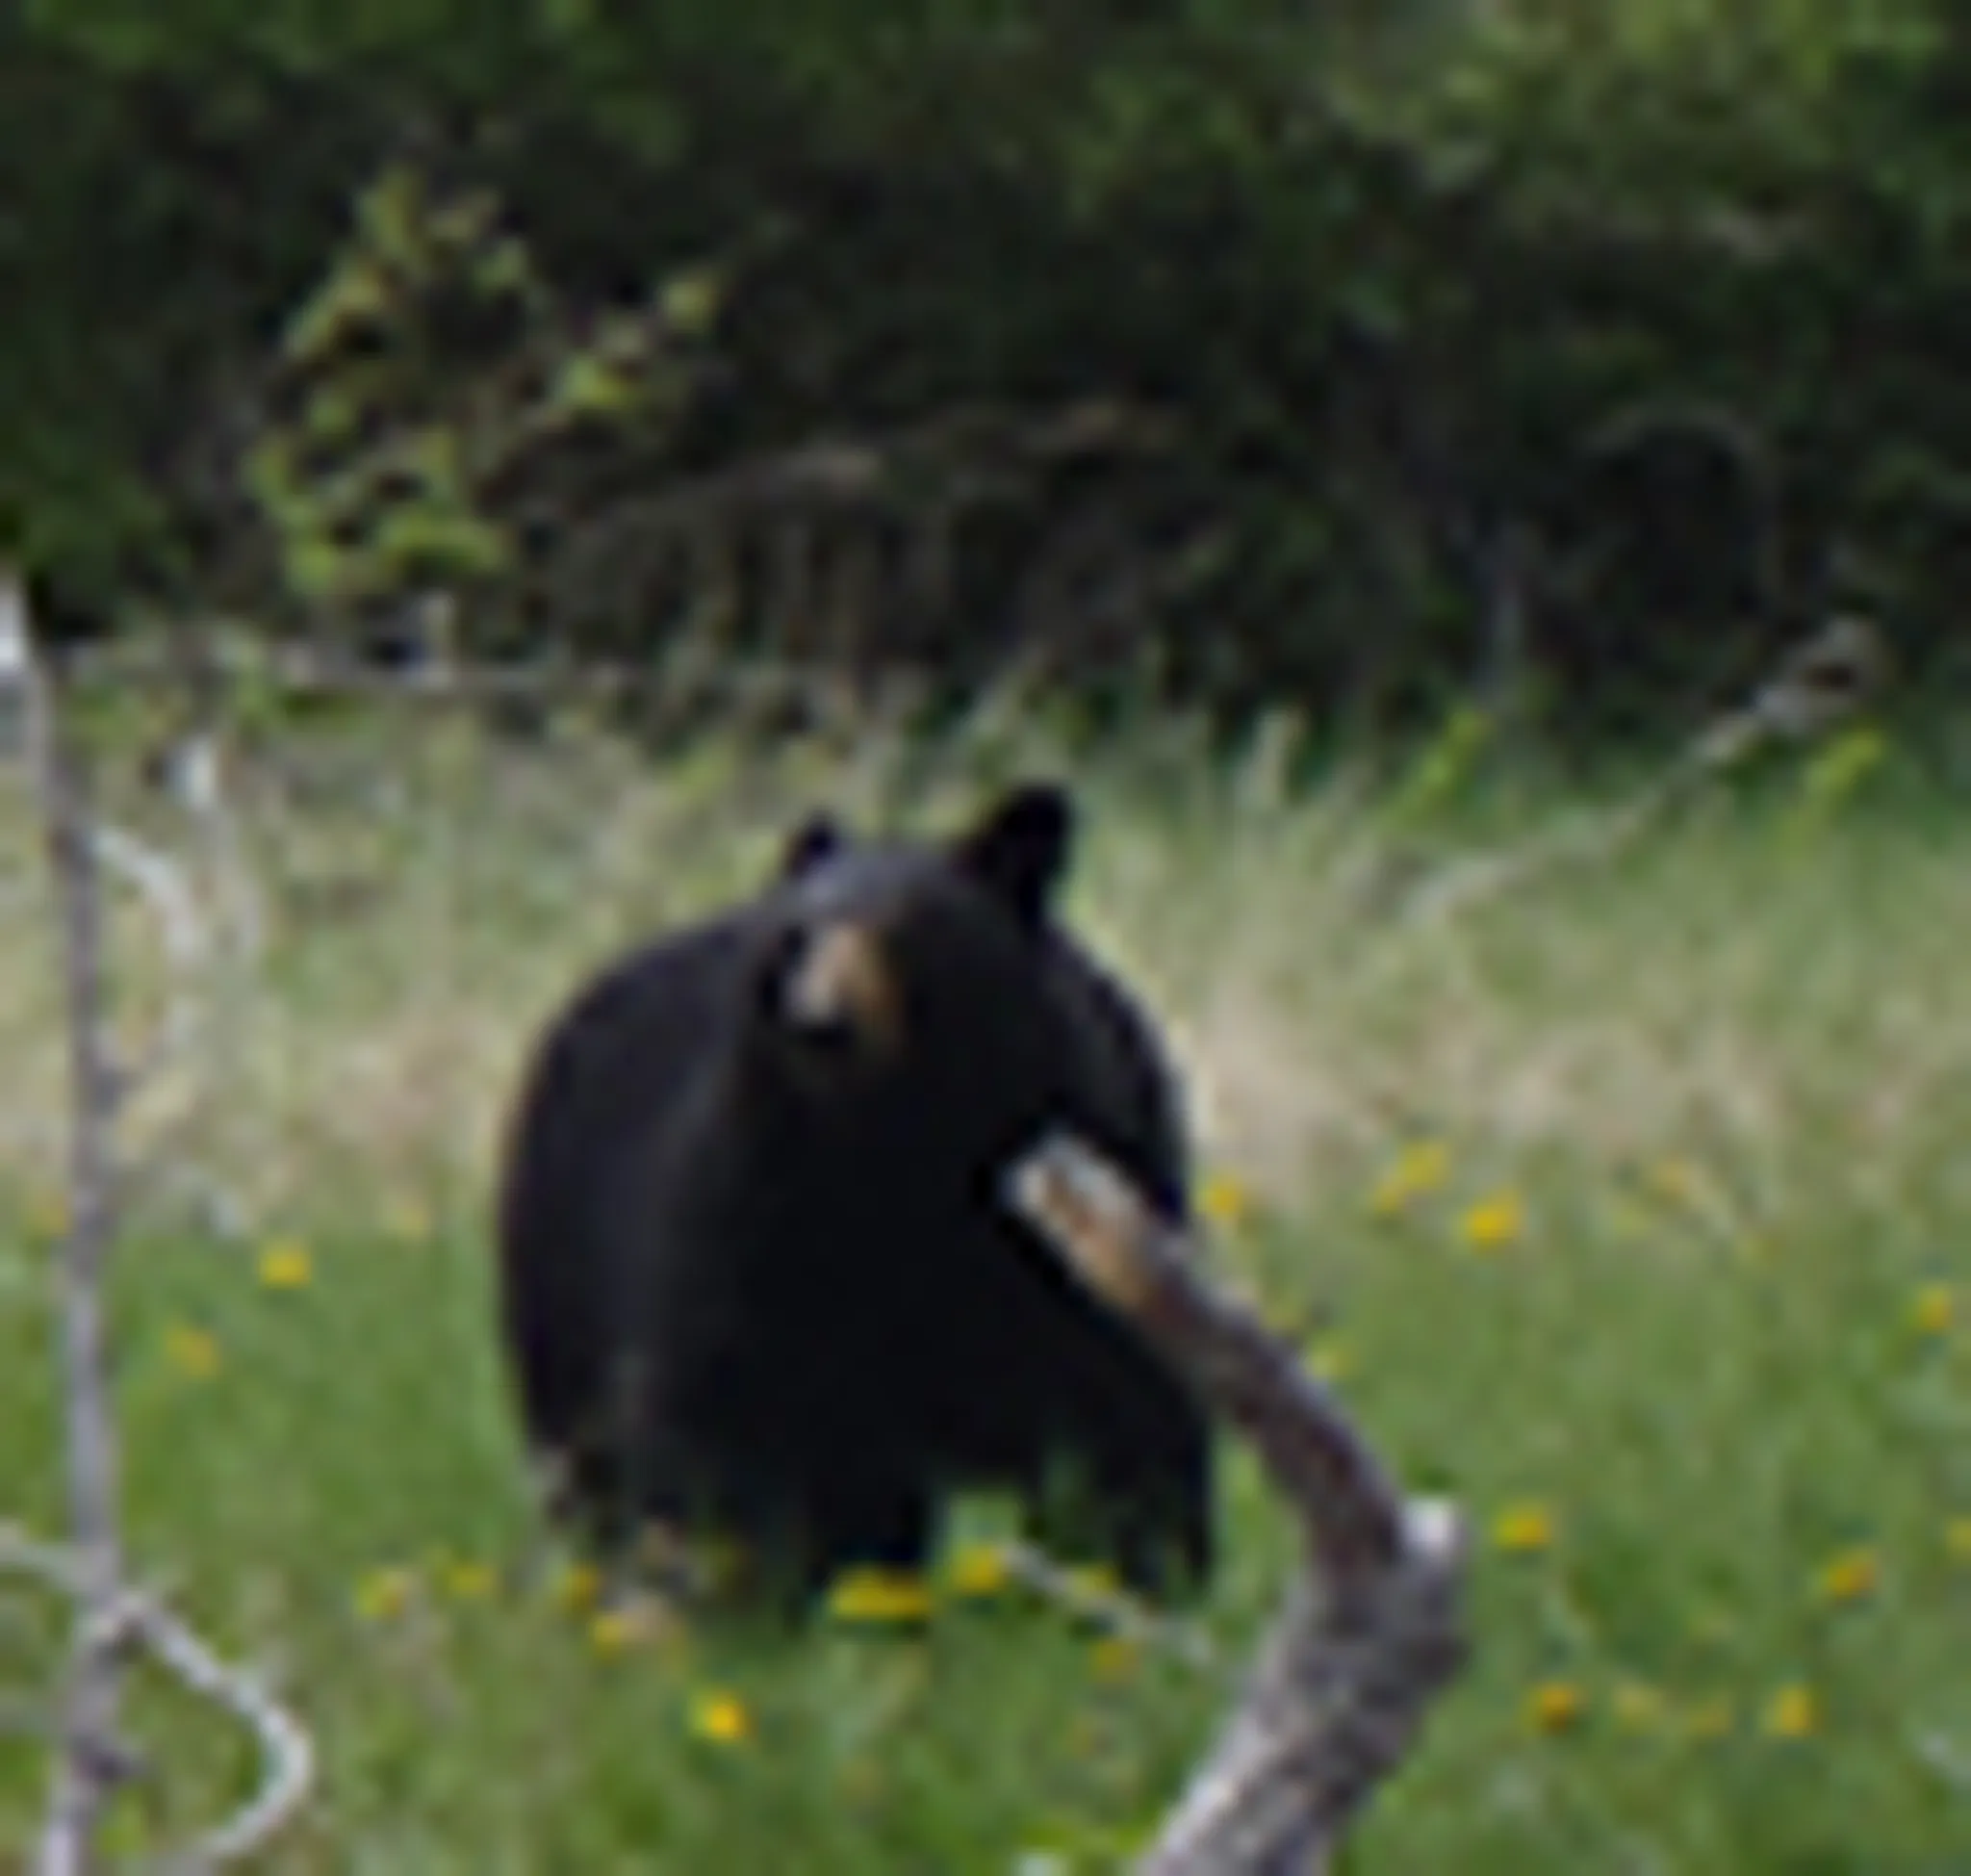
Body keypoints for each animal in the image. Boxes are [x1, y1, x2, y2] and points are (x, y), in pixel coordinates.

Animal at [494, 780, 1213, 1604]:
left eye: (904, 927)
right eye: (798, 935)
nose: (818, 1021)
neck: (893, 1140)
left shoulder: (1092, 1158)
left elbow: (1126, 1398)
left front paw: (1140, 1574)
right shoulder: (755, 1197)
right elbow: (730, 1395)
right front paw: (748, 1586)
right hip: (562, 1266)